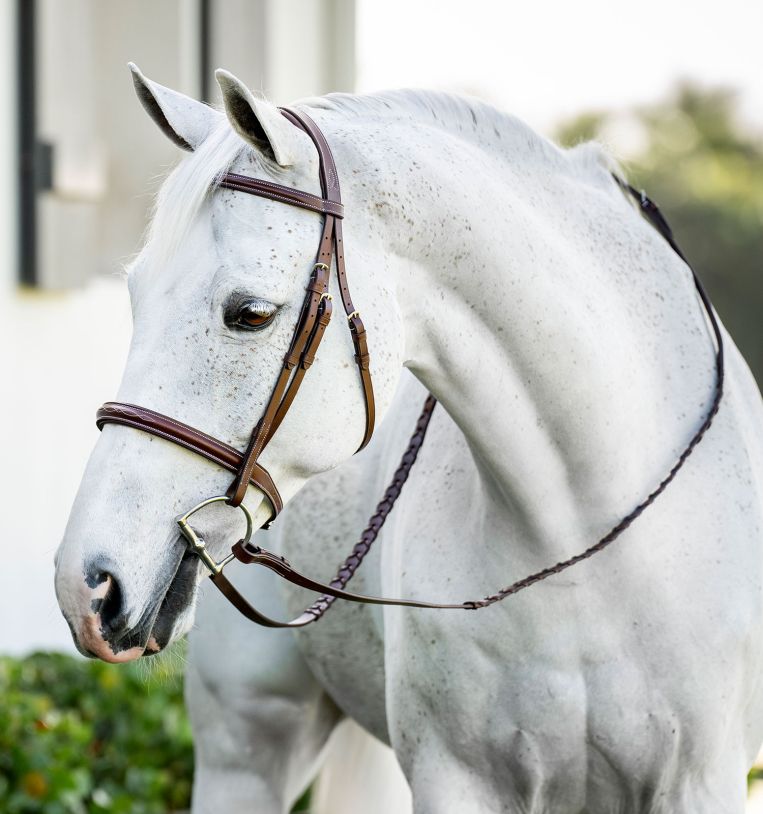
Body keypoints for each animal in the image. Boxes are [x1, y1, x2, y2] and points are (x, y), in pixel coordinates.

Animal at [54, 64, 763, 813]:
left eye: (250, 314)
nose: (88, 584)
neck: (583, 544)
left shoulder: (702, 785)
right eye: (135, 295)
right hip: (245, 750)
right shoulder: (457, 781)